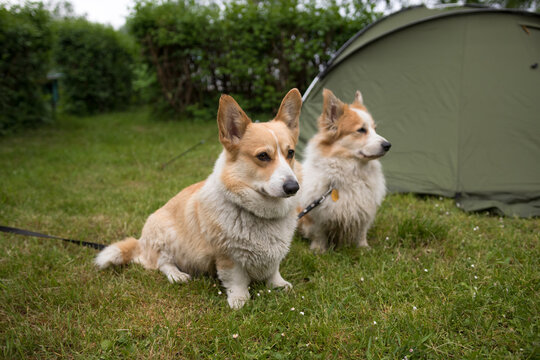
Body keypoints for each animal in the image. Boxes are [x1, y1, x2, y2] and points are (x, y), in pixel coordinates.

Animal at [94, 88, 302, 308]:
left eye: (290, 153)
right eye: (263, 156)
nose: (293, 187)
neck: (260, 214)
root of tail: (140, 243)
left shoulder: (275, 255)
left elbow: (273, 270)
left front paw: (279, 285)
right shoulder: (227, 256)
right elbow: (236, 280)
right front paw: (239, 300)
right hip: (166, 236)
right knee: (162, 263)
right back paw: (177, 276)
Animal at [298, 89, 390, 252]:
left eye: (375, 129)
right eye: (361, 130)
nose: (388, 145)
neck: (351, 172)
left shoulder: (364, 212)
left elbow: (361, 232)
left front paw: (363, 248)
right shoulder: (316, 214)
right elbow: (319, 233)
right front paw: (319, 250)